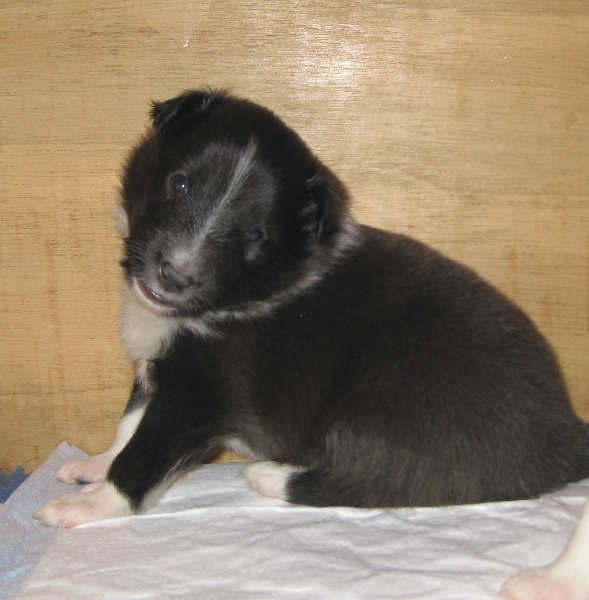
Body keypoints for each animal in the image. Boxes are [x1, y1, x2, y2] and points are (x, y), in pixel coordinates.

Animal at [35, 90, 589, 528]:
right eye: (180, 183)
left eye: (255, 236)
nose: (174, 276)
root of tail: (568, 432)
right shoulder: (159, 364)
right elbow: (131, 421)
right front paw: (95, 463)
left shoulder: (200, 393)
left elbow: (145, 453)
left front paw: (87, 505)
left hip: (381, 398)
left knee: (392, 483)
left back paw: (269, 474)